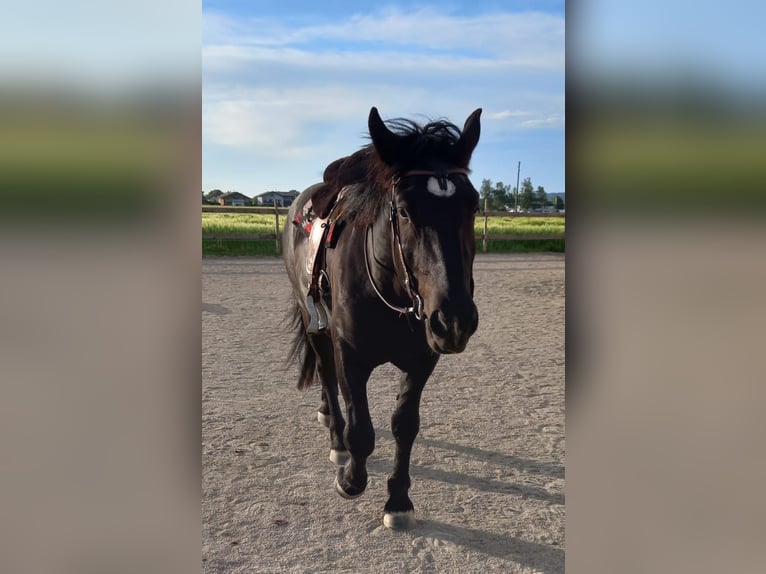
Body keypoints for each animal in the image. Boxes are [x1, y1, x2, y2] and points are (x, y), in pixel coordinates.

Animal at [284, 107, 484, 532]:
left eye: (473, 205)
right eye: (405, 210)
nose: (455, 319)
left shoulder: (424, 358)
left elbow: (404, 425)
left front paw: (398, 499)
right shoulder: (350, 355)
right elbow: (361, 429)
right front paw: (351, 479)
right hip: (313, 321)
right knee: (326, 373)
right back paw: (335, 437)